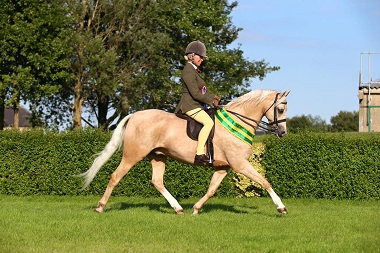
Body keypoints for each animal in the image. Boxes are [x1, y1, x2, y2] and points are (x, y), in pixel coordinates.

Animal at [78, 90, 290, 214]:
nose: (283, 133)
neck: (237, 123)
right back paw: (100, 207)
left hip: (158, 156)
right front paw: (281, 207)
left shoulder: (223, 167)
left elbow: (211, 189)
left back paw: (178, 208)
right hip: (132, 155)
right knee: (115, 176)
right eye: (280, 109)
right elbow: (264, 181)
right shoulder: (240, 165)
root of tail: (135, 115)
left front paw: (196, 209)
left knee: (157, 181)